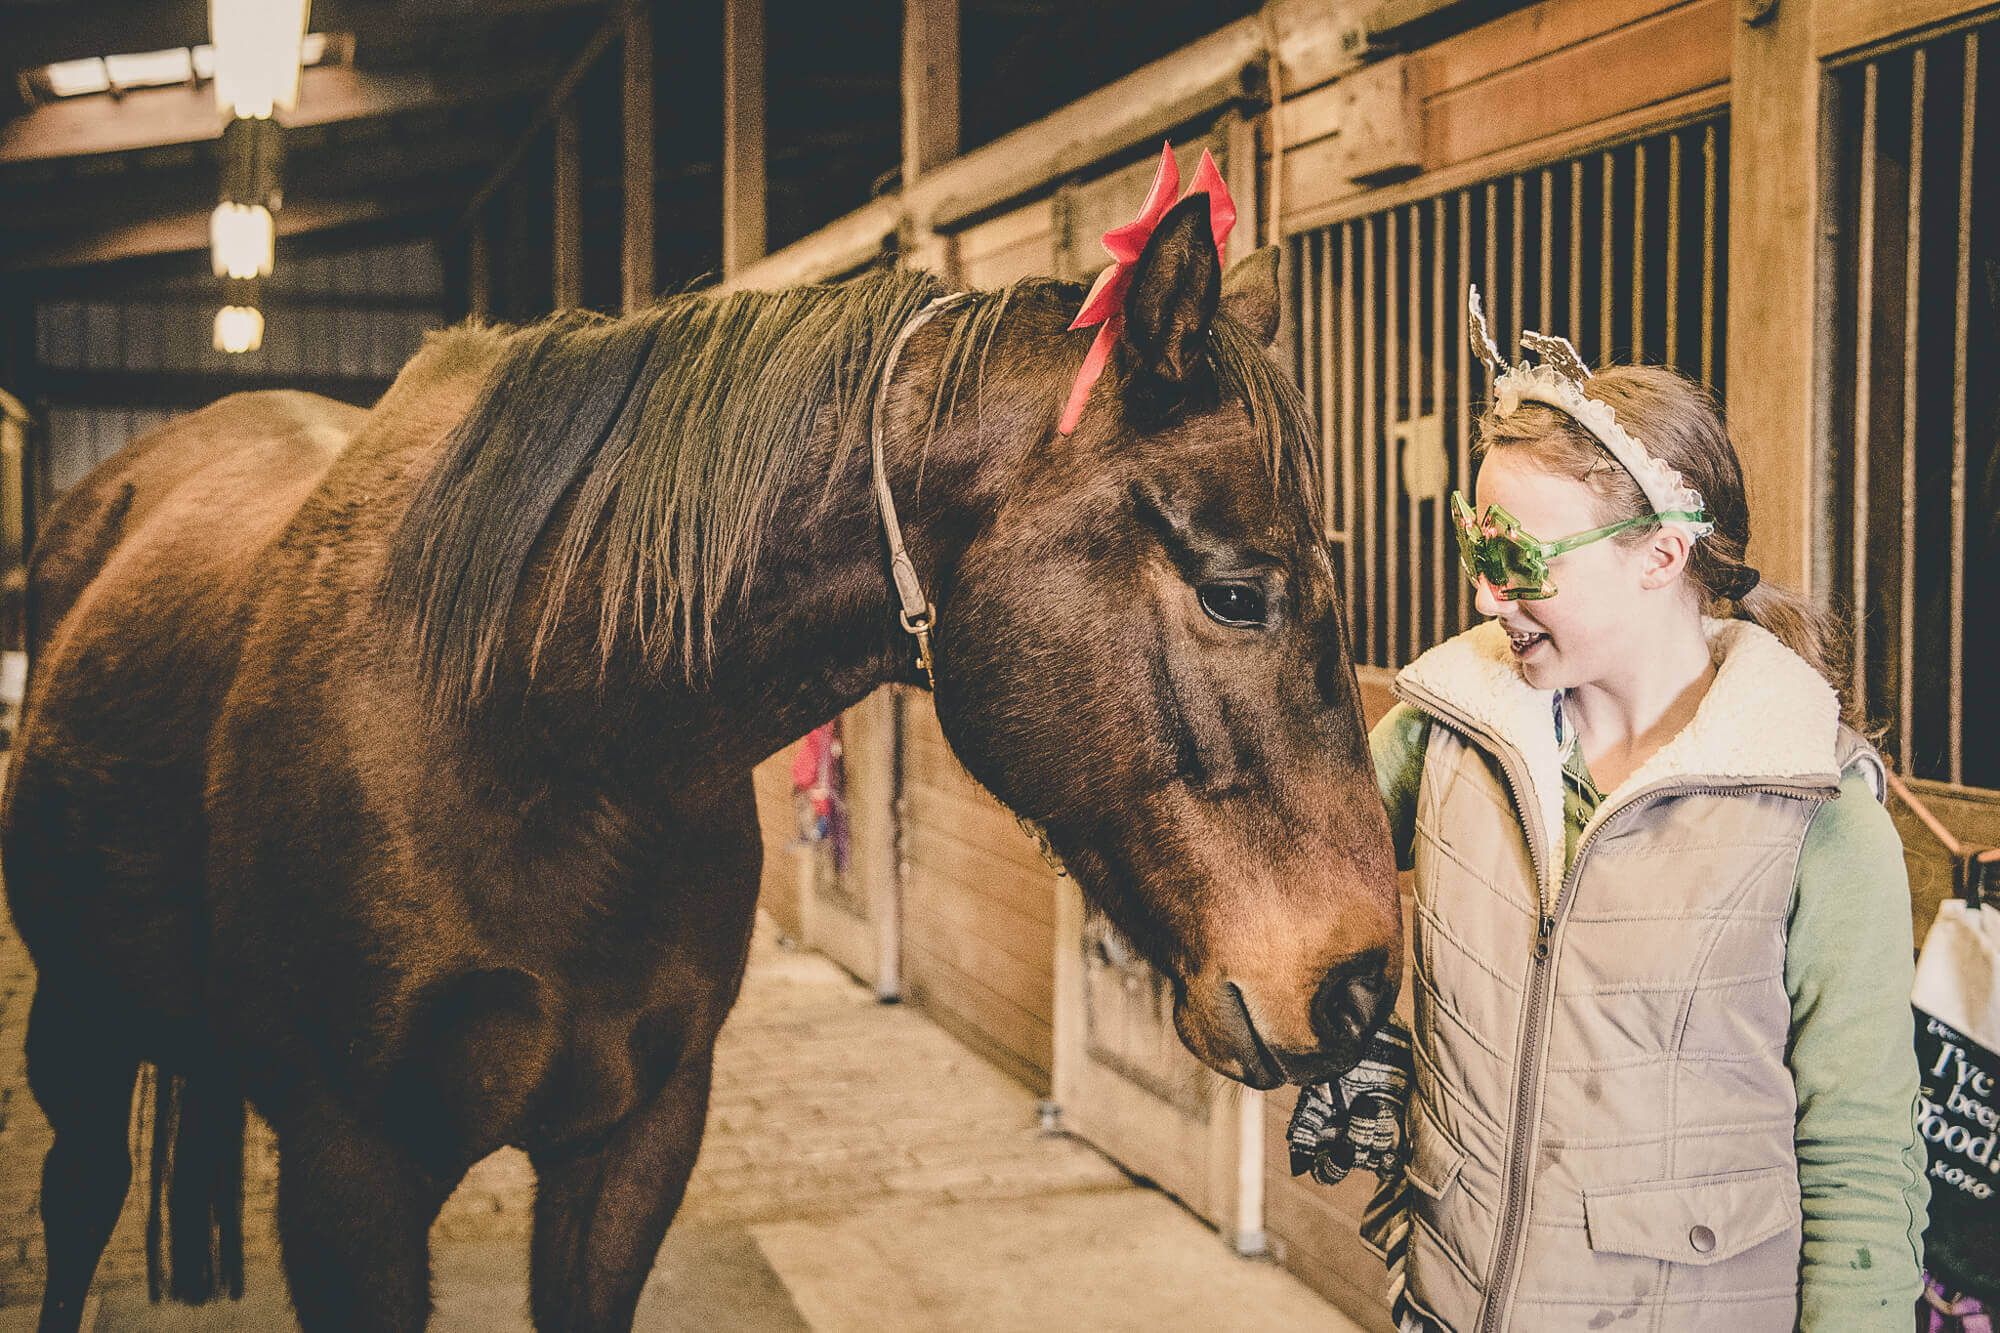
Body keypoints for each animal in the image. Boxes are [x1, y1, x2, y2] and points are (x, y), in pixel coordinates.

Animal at [7, 197, 1400, 1328]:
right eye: (1234, 592)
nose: (1359, 985)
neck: (538, 740)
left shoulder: (635, 1144)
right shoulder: (349, 1176)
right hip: (76, 1021)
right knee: (79, 1200)